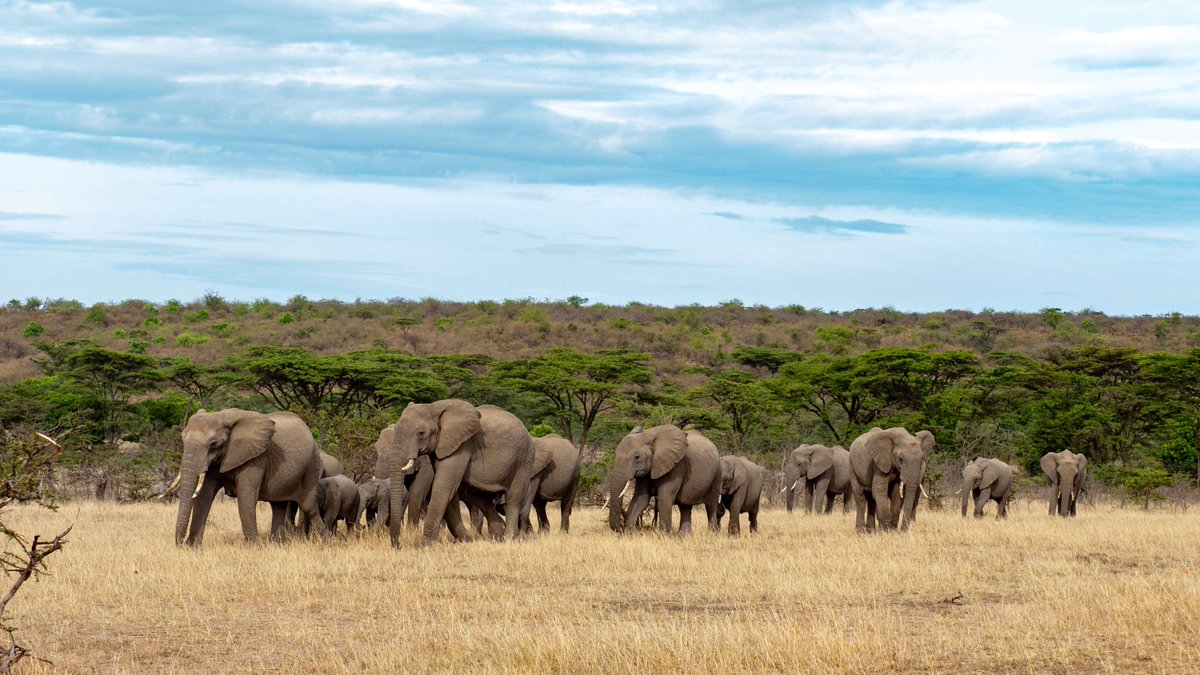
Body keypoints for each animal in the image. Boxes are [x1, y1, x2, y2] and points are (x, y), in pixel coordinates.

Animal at [174, 408, 324, 542]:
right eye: (182, 439)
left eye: (213, 444)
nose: (180, 544)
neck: (222, 416)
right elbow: (204, 496)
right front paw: (192, 547)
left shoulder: (256, 457)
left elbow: (246, 497)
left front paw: (254, 546)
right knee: (278, 506)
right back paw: (277, 544)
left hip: (312, 463)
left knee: (308, 506)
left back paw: (324, 541)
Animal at [384, 398, 535, 547]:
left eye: (421, 433)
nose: (398, 545)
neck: (434, 407)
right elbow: (450, 491)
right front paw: (466, 541)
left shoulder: (461, 446)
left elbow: (444, 486)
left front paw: (425, 546)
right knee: (481, 499)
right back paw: (498, 536)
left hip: (524, 458)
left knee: (513, 498)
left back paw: (509, 538)